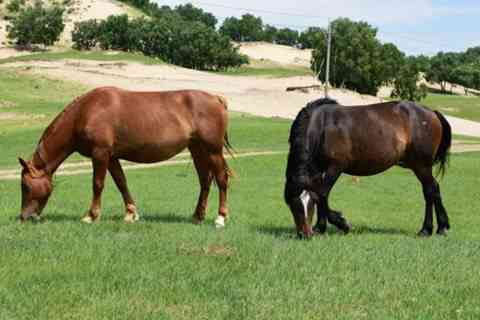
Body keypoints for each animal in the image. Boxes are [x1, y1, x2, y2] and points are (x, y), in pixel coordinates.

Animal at [19, 87, 233, 228]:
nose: (23, 217)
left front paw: (91, 216)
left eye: (26, 186)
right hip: (197, 149)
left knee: (221, 180)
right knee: (205, 181)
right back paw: (197, 216)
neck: (86, 111)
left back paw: (220, 217)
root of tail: (217, 98)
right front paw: (131, 213)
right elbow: (121, 182)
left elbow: (98, 184)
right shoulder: (112, 157)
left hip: (213, 151)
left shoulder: (100, 153)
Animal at [284, 97, 454, 238]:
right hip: (419, 166)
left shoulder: (335, 167)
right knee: (431, 190)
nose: (305, 234)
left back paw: (429, 229)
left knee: (430, 190)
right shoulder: (318, 170)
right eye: (293, 204)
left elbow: (322, 195)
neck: (320, 127)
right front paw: (321, 227)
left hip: (421, 166)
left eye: (308, 204)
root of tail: (432, 112)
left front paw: (342, 224)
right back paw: (437, 227)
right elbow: (321, 195)